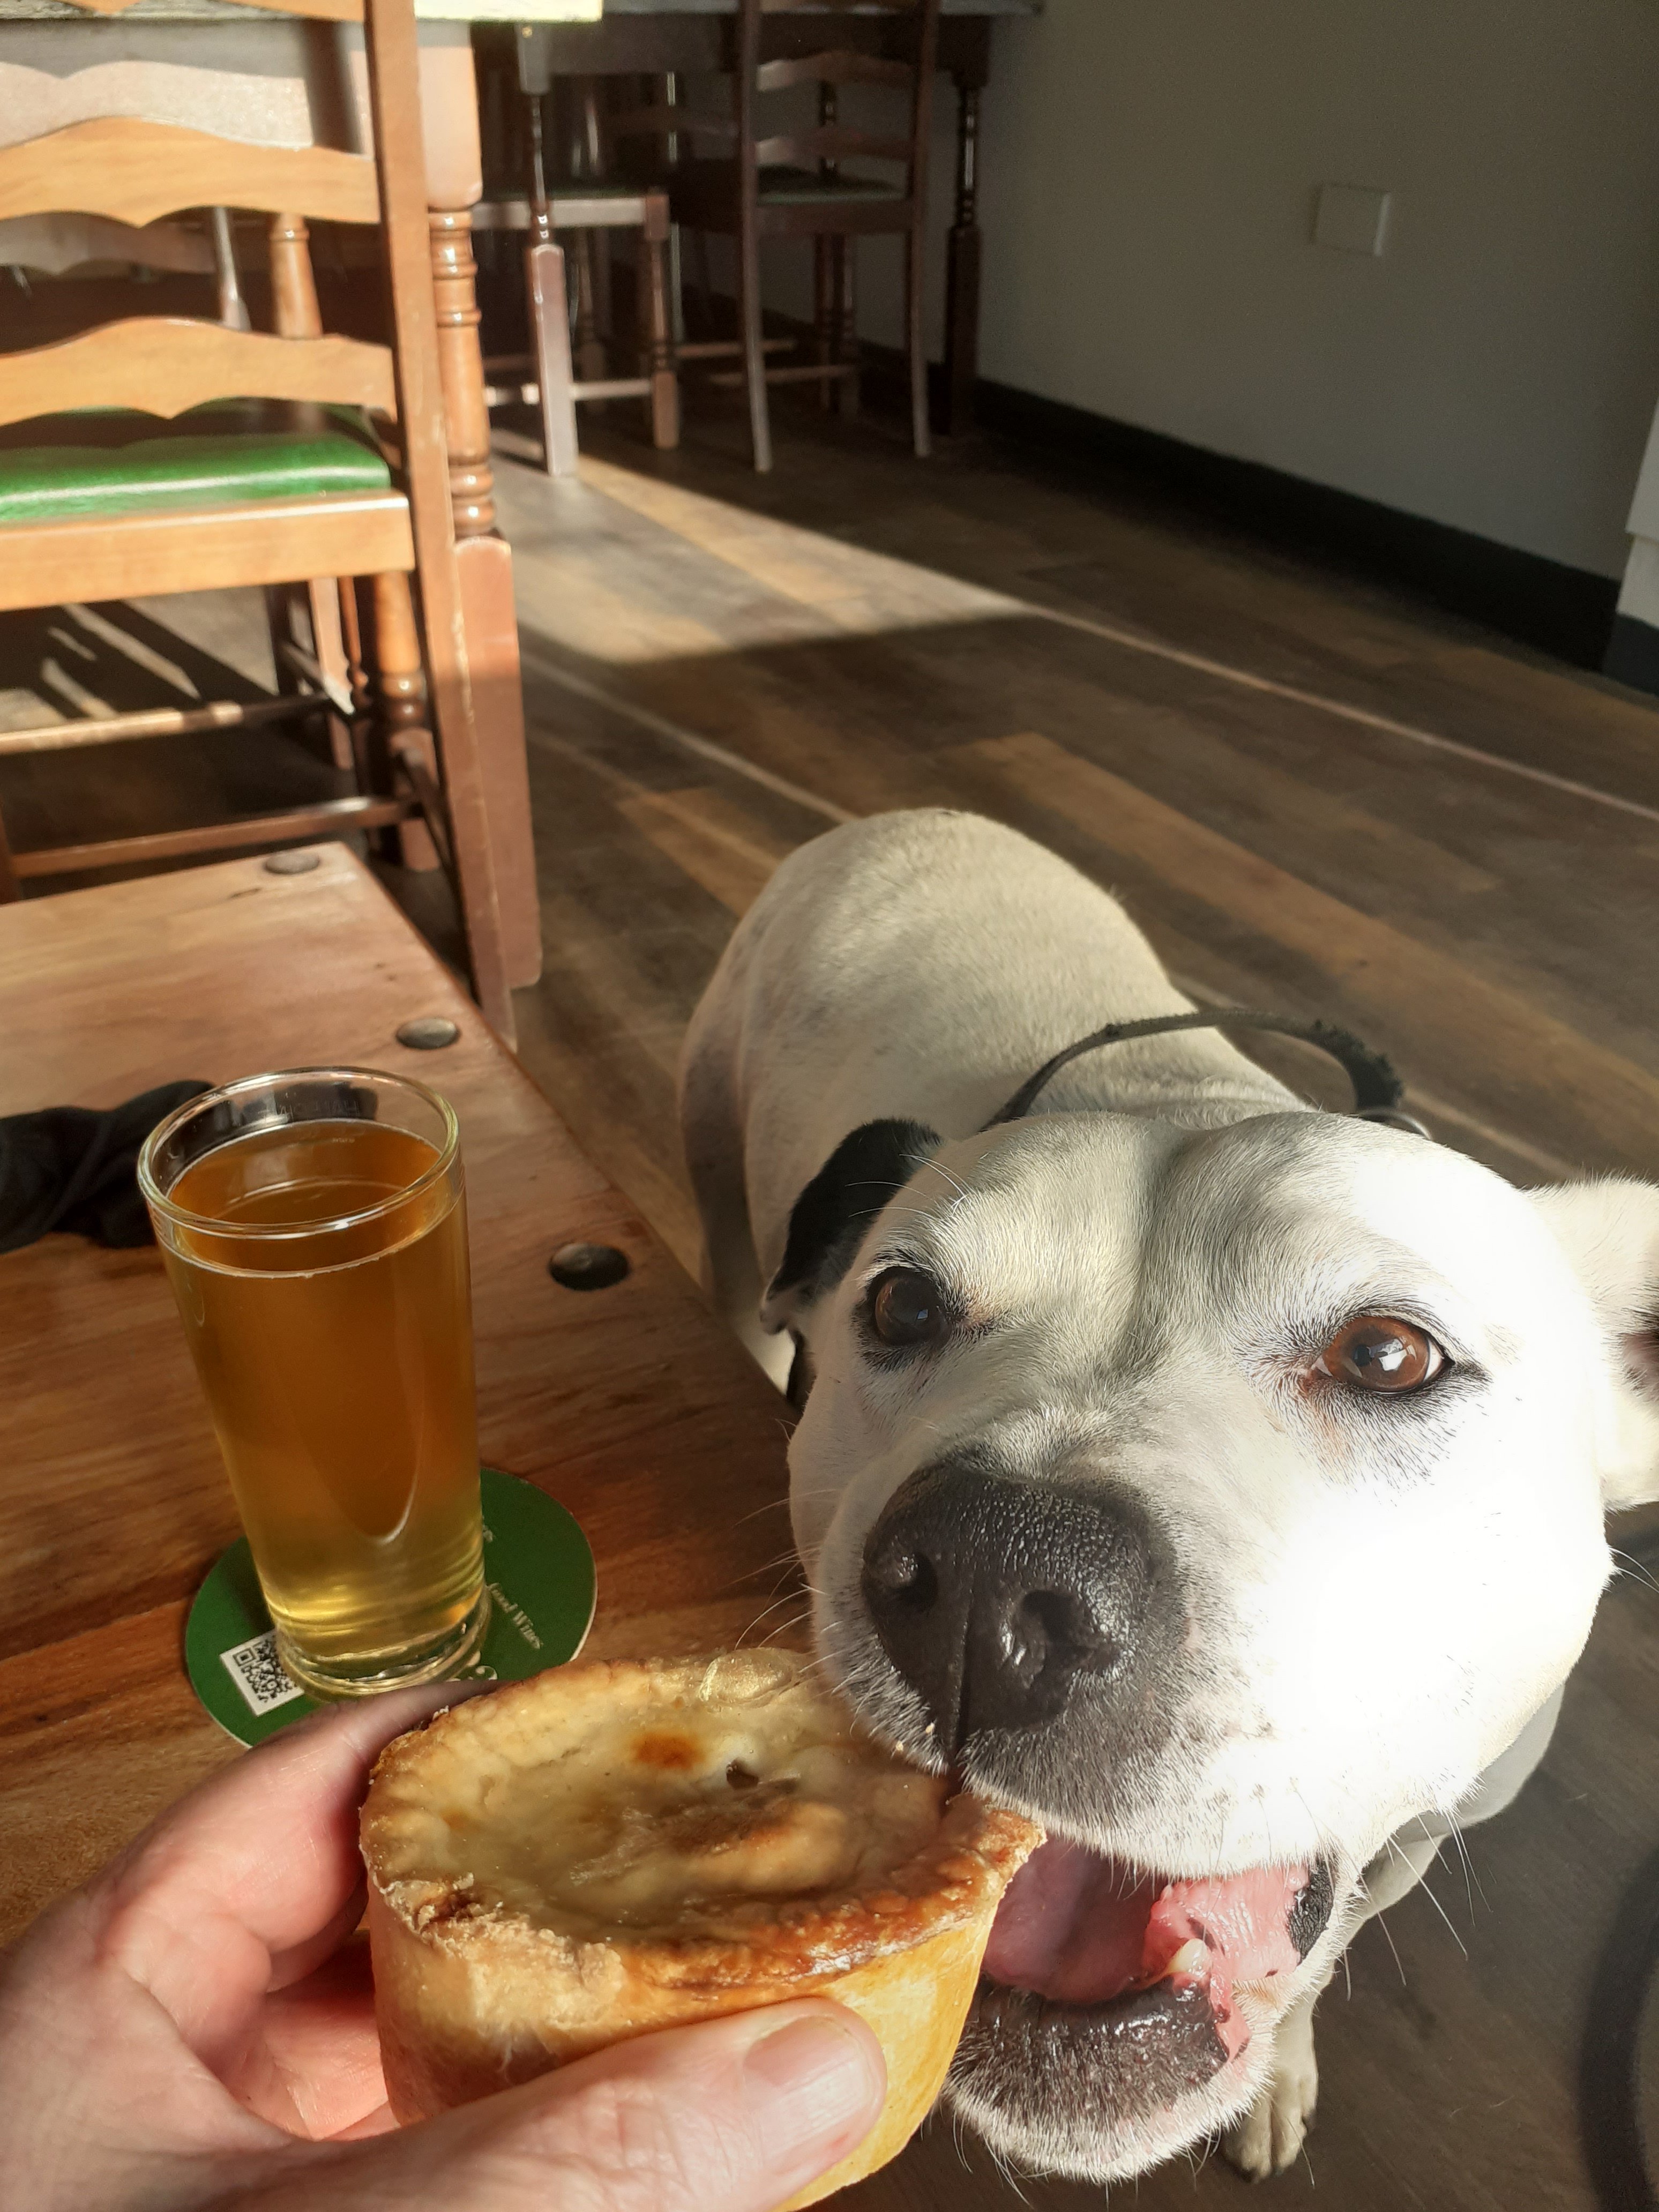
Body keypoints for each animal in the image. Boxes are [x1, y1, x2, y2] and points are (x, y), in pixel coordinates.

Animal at [678, 808, 1659, 2183]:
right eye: (902, 1306)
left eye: (1390, 1355)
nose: (989, 1576)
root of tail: (907, 819)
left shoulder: (1414, 1839)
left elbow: (1321, 1959)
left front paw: (1279, 2065)